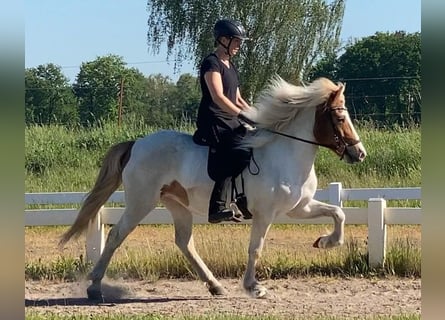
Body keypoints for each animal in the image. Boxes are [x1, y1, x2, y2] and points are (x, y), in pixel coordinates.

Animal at [58, 75, 364, 300]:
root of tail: (137, 144)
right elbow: (256, 248)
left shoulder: (300, 208)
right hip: (141, 202)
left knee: (184, 242)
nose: (359, 154)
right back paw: (94, 288)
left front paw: (326, 242)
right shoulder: (265, 214)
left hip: (176, 203)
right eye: (339, 118)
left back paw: (215, 286)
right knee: (116, 235)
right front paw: (254, 287)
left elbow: (338, 212)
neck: (285, 153)